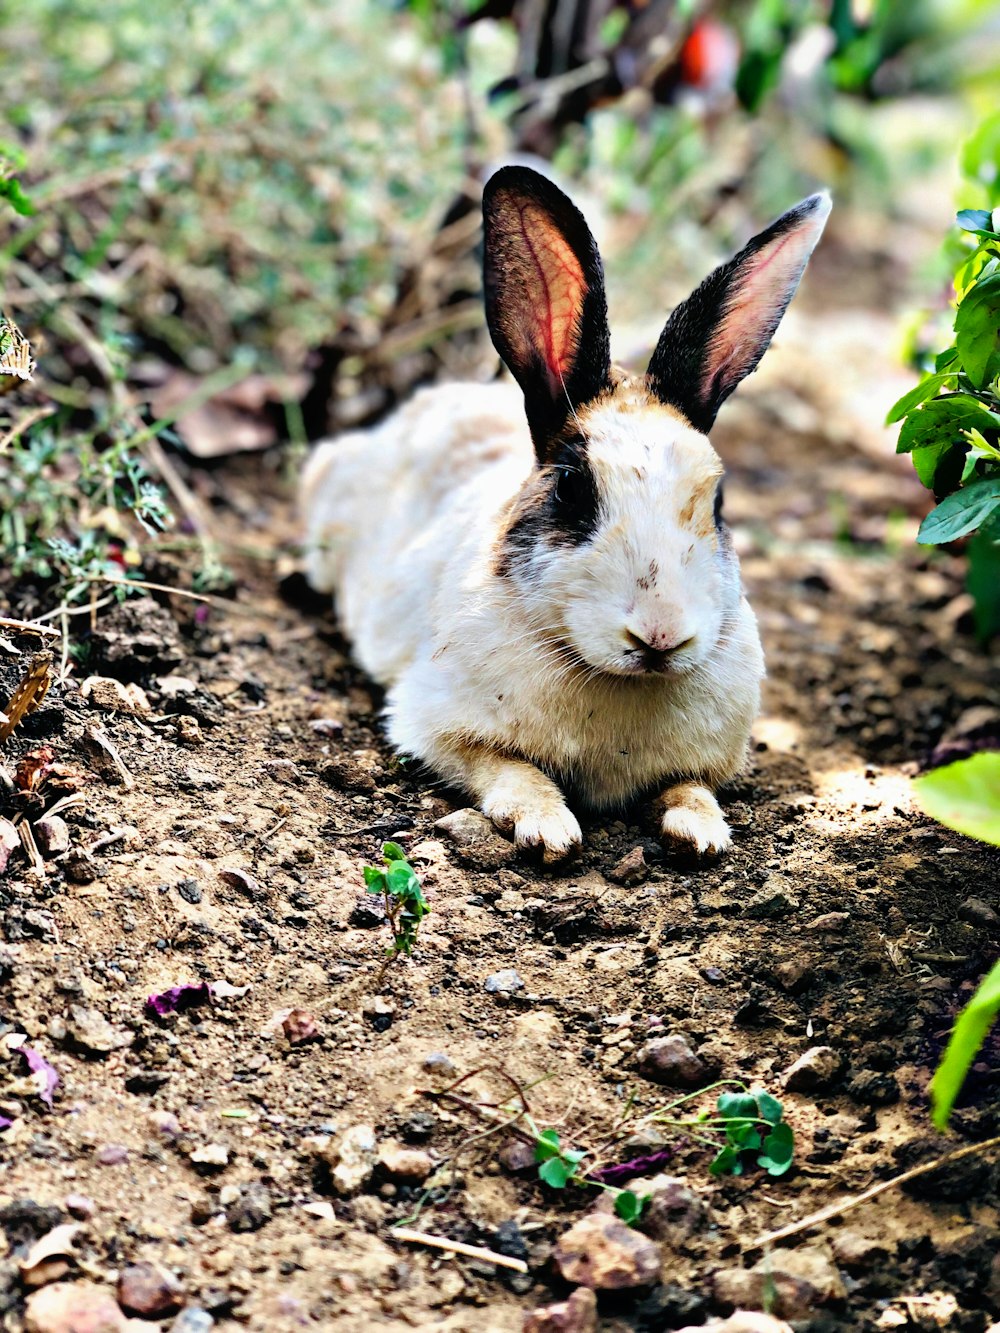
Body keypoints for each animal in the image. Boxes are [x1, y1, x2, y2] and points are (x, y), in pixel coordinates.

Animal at [301, 163, 832, 863]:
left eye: (717, 501)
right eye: (573, 489)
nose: (660, 635)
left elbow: (689, 788)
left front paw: (702, 835)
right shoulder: (435, 725)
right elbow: (507, 768)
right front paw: (547, 828)